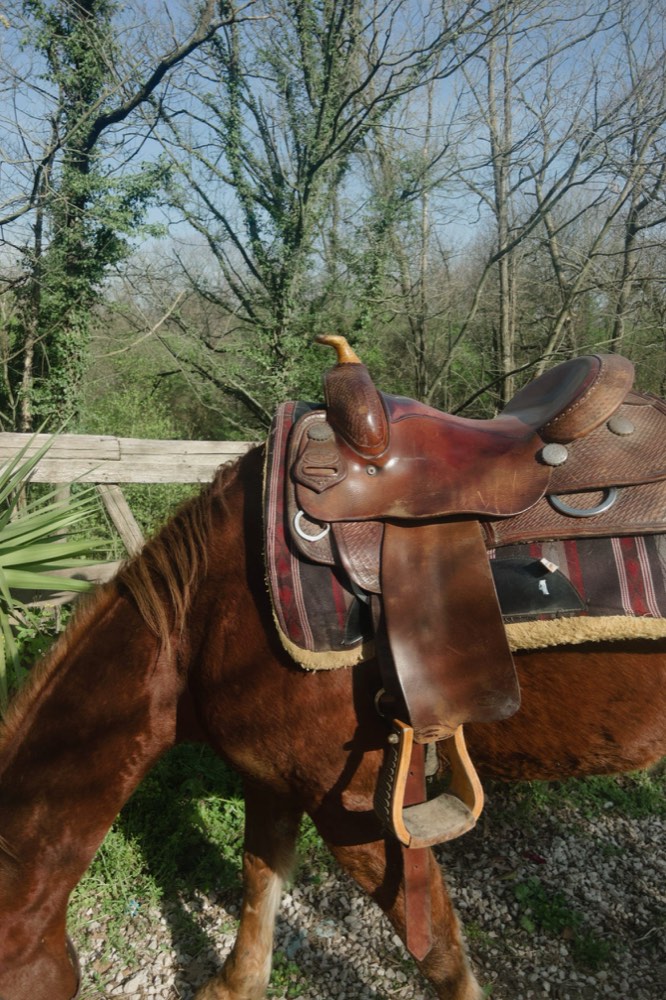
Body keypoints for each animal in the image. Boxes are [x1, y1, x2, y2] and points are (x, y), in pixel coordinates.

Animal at [0, 443, 665, 1000]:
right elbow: (259, 879)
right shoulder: (271, 777)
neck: (209, 617)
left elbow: (440, 952)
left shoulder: (354, 808)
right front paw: (234, 985)